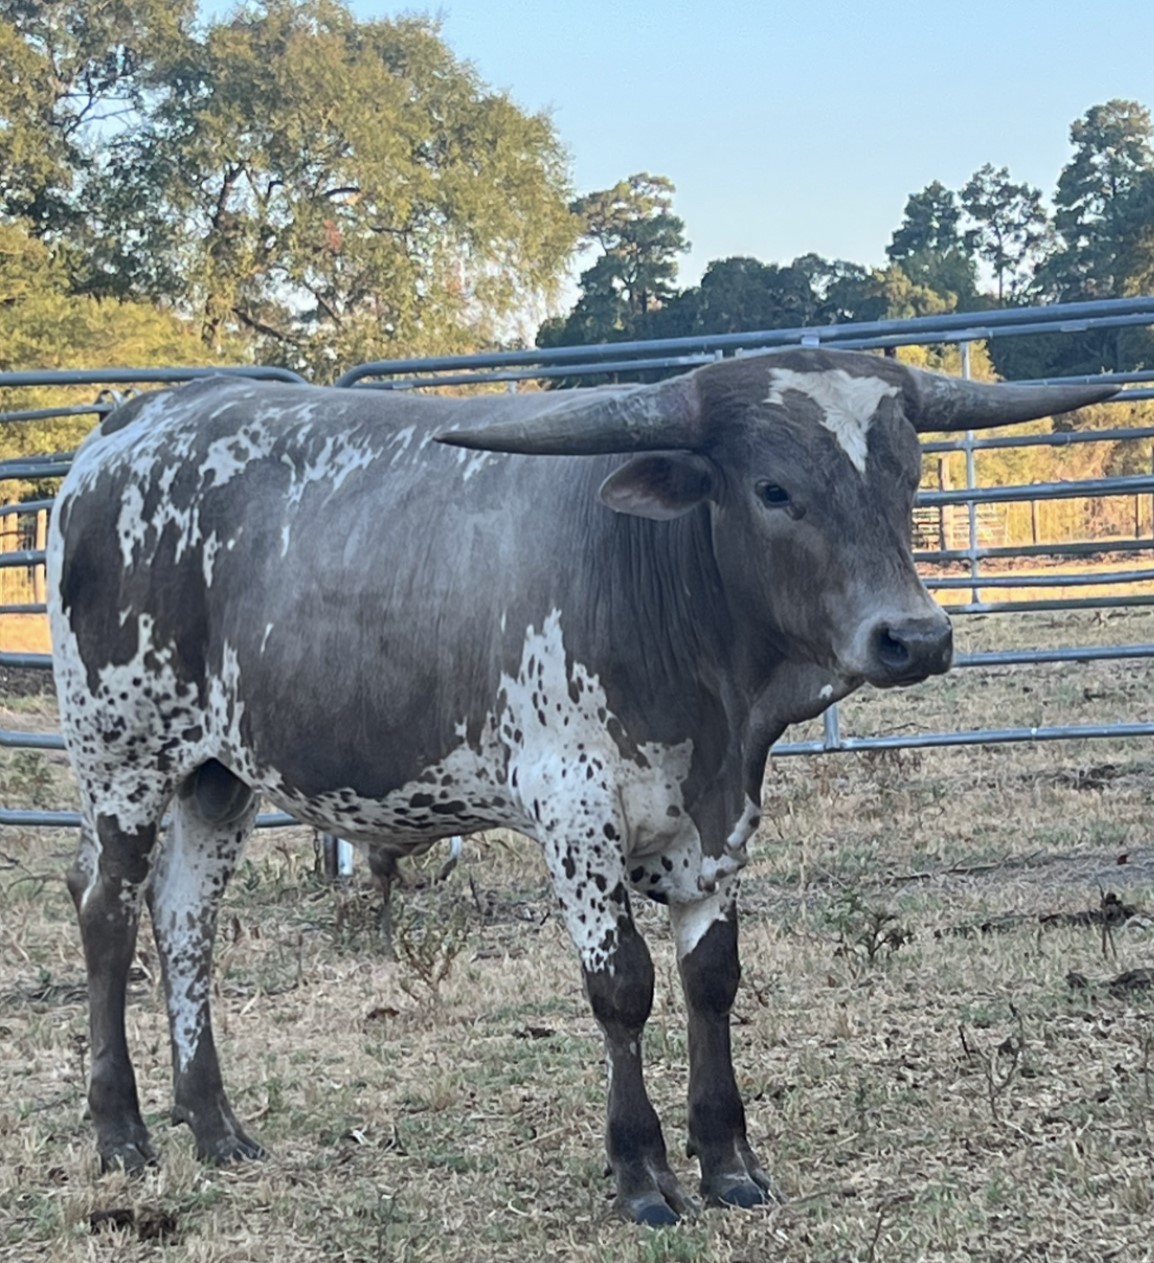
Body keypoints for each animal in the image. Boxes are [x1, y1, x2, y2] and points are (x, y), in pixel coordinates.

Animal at [46, 349, 1113, 1224]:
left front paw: (728, 1163)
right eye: (773, 489)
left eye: (906, 476)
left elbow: (712, 979)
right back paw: (123, 1134)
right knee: (106, 910)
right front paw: (642, 1174)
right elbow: (622, 985)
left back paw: (216, 1126)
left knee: (186, 918)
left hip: (216, 776)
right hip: (121, 754)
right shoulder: (574, 812)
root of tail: (128, 424)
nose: (915, 637)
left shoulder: (715, 821)